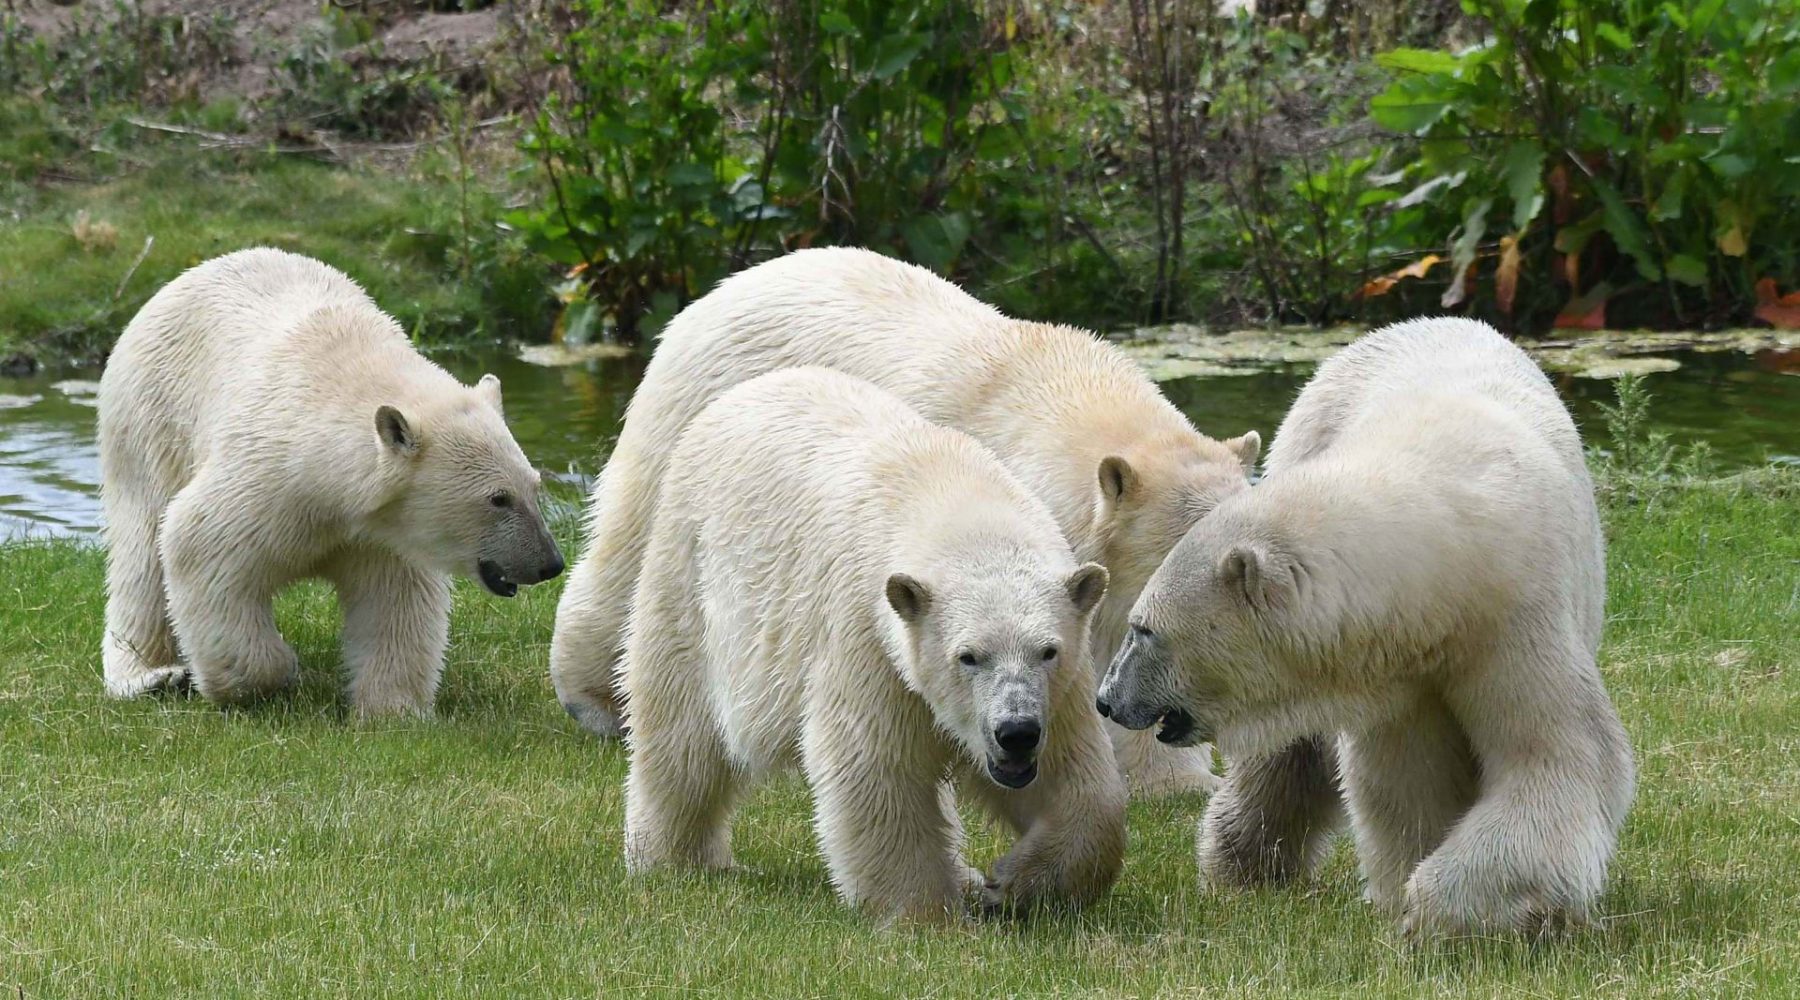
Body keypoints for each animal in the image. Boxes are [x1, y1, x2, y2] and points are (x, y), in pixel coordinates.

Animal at [98, 248, 564, 716]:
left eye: (534, 485)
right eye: (498, 498)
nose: (550, 563)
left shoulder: (383, 532)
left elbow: (395, 601)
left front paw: (394, 709)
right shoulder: (266, 483)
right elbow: (199, 546)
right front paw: (275, 673)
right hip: (150, 420)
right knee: (142, 550)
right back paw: (151, 675)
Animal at [552, 247, 1259, 796]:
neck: (1062, 398)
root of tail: (715, 294)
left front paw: (1182, 777)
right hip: (694, 414)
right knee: (630, 545)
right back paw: (596, 697)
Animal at [621, 367, 1127, 923]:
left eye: (1047, 651)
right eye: (968, 656)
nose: (1015, 732)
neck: (953, 500)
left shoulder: (1061, 687)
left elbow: (1075, 777)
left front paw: (1013, 884)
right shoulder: (867, 637)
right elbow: (876, 769)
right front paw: (926, 915)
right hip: (692, 570)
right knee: (681, 726)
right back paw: (675, 857)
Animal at [1095, 318, 1636, 936]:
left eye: (1144, 629)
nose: (1108, 699)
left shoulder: (1513, 613)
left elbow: (1555, 753)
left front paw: (1442, 908)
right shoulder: (1398, 666)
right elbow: (1407, 778)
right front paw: (1409, 894)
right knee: (1289, 755)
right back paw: (1243, 866)